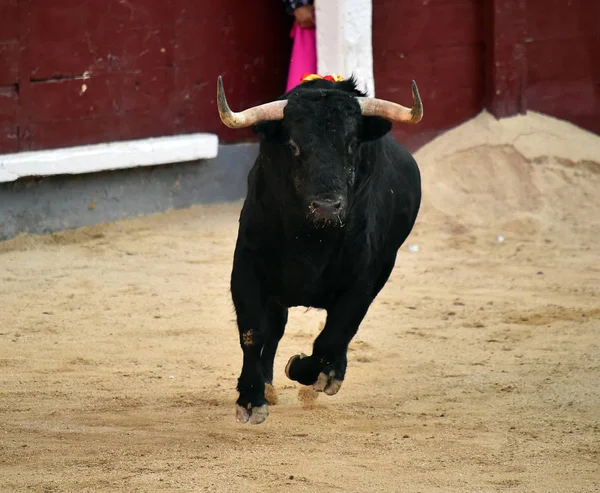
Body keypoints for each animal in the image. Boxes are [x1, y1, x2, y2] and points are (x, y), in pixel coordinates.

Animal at [216, 75, 422, 424]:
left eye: (352, 144)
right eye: (293, 146)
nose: (326, 207)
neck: (312, 240)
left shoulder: (363, 281)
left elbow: (332, 337)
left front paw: (306, 369)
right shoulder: (247, 266)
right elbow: (254, 332)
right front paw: (251, 399)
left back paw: (330, 376)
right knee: (275, 329)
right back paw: (268, 386)